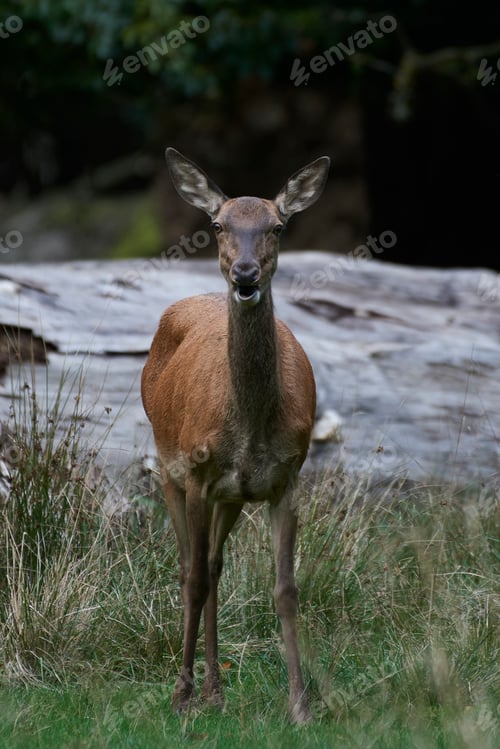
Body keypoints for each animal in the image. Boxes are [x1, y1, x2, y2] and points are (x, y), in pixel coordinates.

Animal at [141, 147, 330, 724]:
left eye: (278, 225)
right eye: (219, 225)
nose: (245, 273)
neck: (250, 427)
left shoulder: (287, 478)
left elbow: (286, 590)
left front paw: (300, 706)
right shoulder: (198, 472)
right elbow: (194, 581)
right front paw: (178, 697)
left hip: (232, 496)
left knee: (215, 565)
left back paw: (216, 690)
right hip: (168, 465)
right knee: (190, 569)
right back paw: (194, 691)